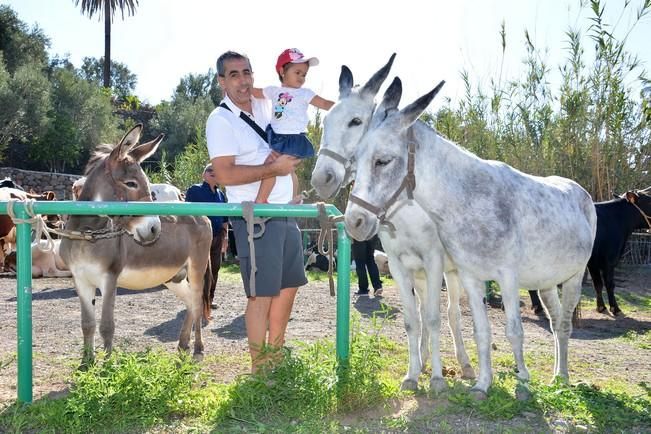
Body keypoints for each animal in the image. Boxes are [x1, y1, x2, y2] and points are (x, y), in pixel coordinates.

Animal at [584, 187, 651, 316]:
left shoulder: (593, 262)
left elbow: (598, 284)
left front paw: (601, 307)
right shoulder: (609, 260)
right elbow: (610, 284)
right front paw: (615, 308)